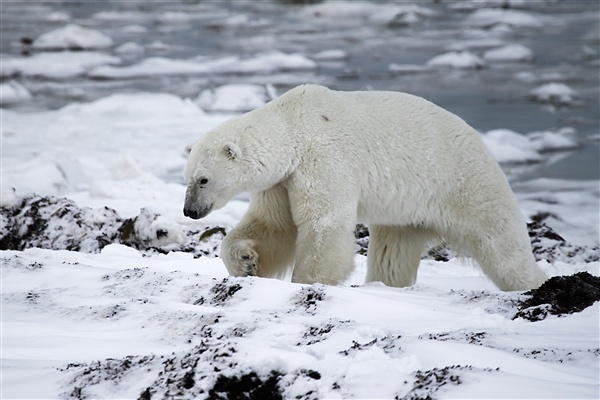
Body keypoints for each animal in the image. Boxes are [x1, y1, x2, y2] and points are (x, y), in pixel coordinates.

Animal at [184, 84, 548, 290]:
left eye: (203, 180)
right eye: (187, 177)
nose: (189, 211)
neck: (293, 126)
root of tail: (482, 144)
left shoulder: (325, 159)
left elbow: (323, 223)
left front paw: (307, 281)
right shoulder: (281, 181)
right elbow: (274, 225)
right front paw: (246, 259)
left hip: (464, 183)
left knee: (501, 247)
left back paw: (535, 284)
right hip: (408, 212)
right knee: (392, 252)